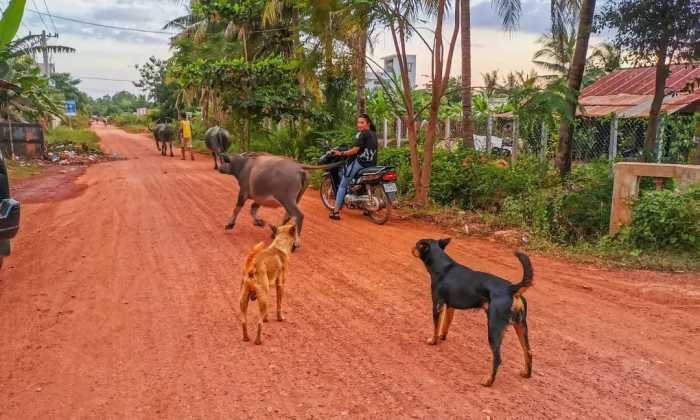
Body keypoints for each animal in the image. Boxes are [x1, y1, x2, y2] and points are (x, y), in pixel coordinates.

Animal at [412, 238, 532, 386]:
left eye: (417, 245)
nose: (411, 248)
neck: (443, 267)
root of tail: (511, 288)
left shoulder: (437, 306)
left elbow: (436, 327)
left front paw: (433, 341)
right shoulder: (450, 307)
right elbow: (445, 325)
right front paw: (442, 337)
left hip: (494, 329)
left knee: (498, 358)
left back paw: (488, 381)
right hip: (521, 327)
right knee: (528, 351)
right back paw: (526, 373)